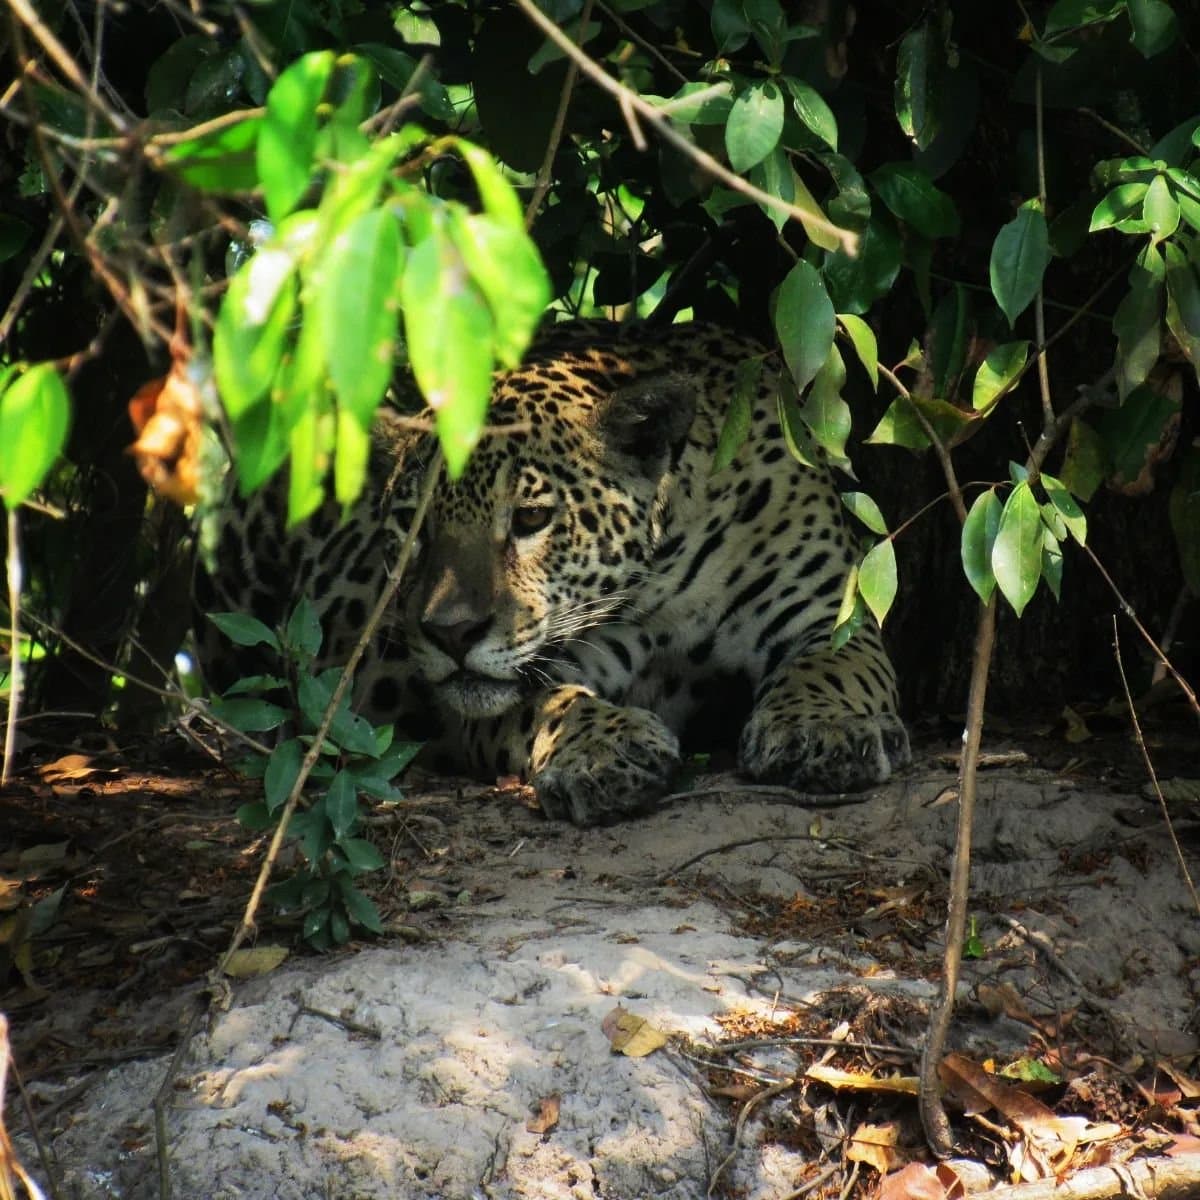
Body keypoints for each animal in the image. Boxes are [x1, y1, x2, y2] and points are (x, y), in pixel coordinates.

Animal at [195, 320, 910, 826]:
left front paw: (819, 729)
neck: (667, 571)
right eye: (411, 527)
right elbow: (546, 704)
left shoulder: (829, 611)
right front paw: (604, 750)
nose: (450, 633)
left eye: (532, 517)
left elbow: (834, 665)